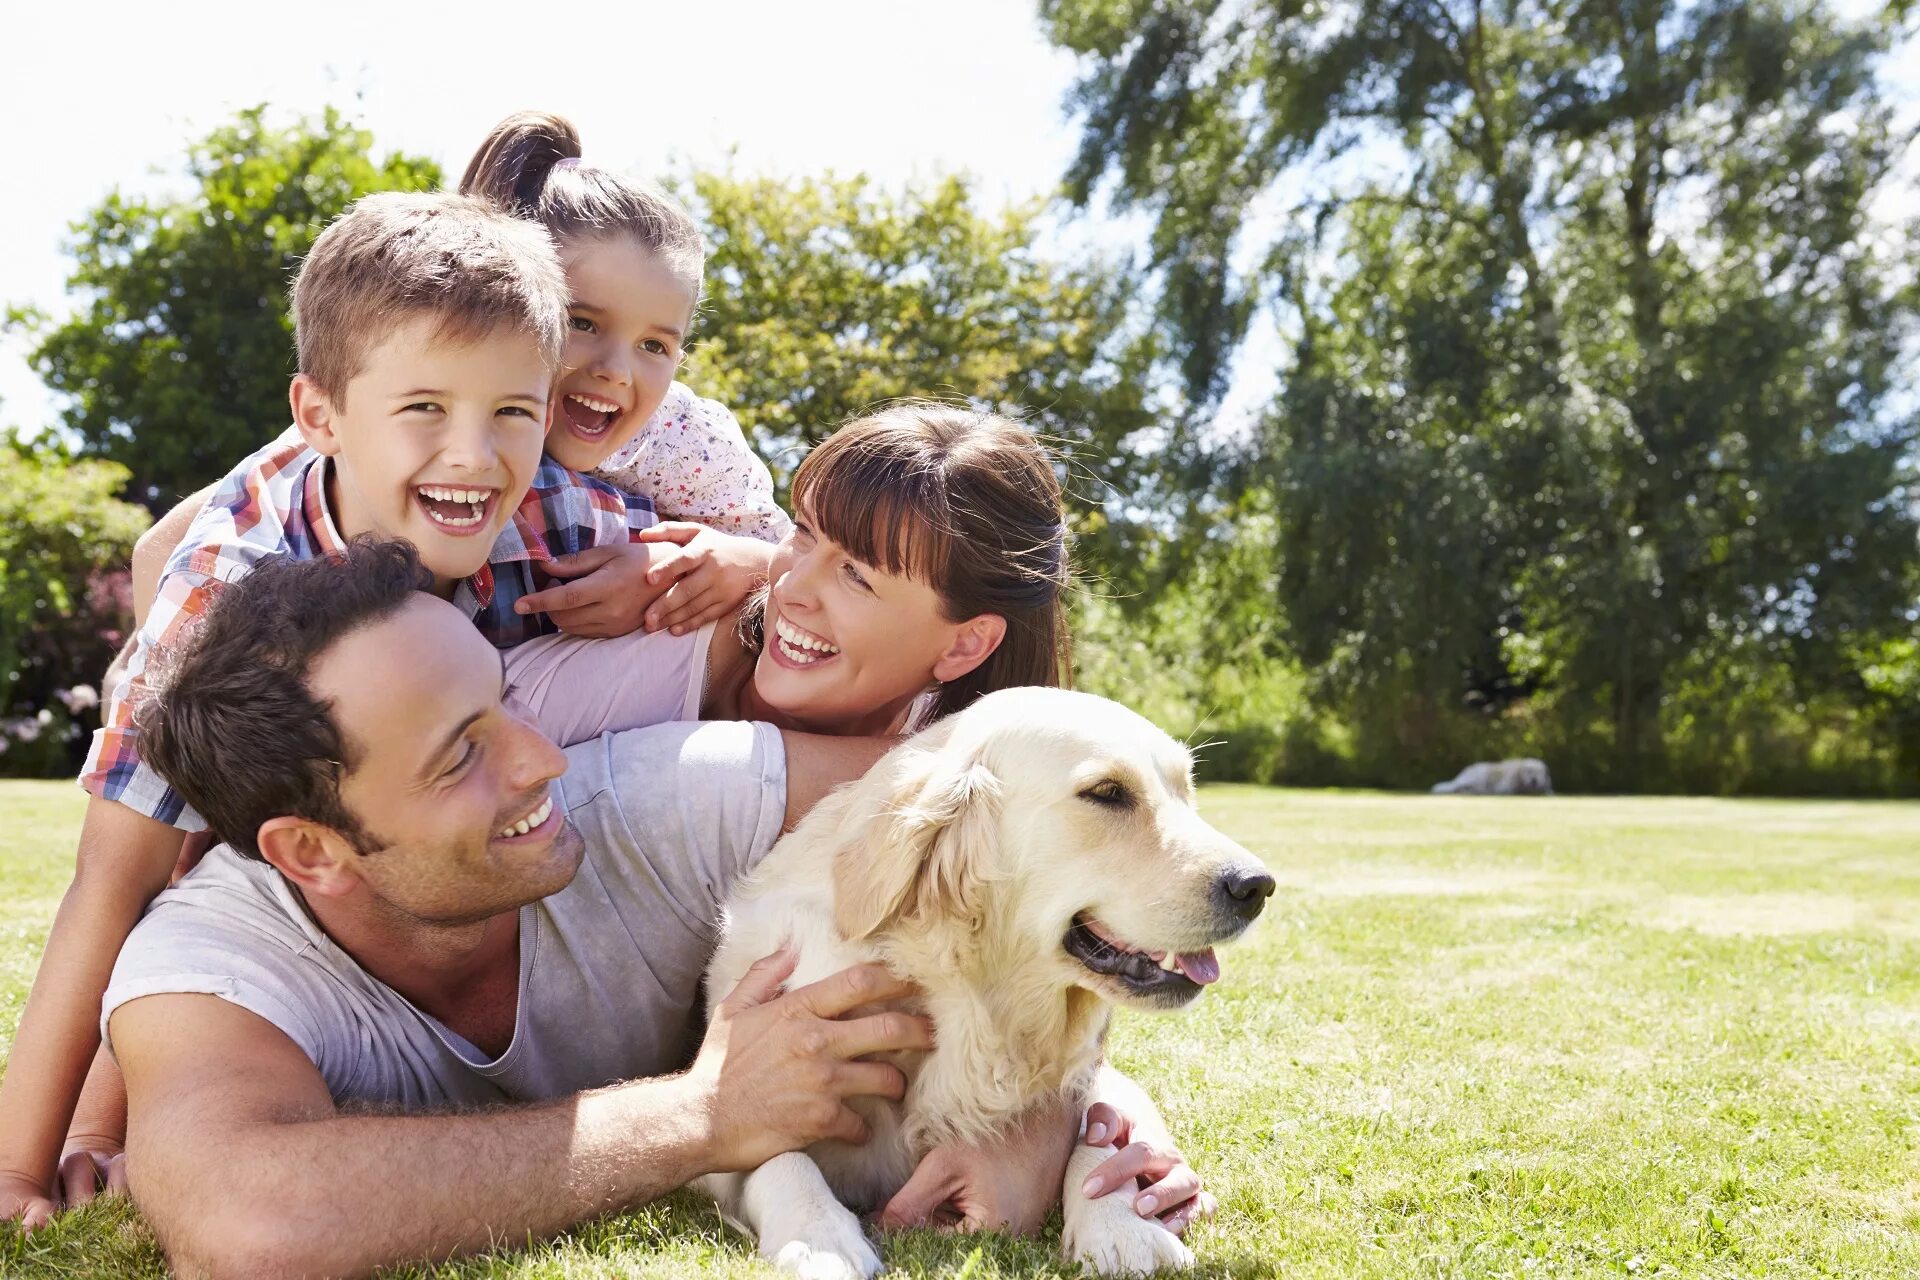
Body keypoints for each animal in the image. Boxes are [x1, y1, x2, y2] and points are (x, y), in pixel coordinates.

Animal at [695, 694, 1274, 1274]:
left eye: (1185, 791)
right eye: (1107, 792)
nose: (1257, 886)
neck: (968, 1002)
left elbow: (1099, 1131)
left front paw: (1123, 1227)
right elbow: (777, 1152)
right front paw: (819, 1238)